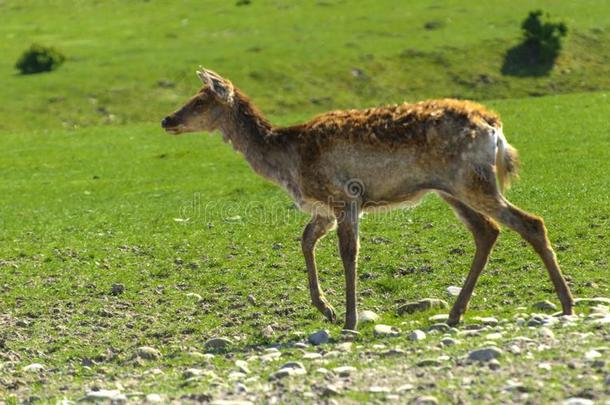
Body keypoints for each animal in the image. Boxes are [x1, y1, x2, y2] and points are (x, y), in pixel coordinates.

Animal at [159, 68, 572, 330]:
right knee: (488, 231)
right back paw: (456, 313)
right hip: (451, 188)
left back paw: (567, 302)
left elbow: (348, 253)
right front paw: (325, 309)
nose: (167, 120)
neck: (287, 161)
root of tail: (494, 126)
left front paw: (349, 318)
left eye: (200, 101)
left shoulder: (345, 195)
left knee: (530, 222)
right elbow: (305, 240)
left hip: (472, 181)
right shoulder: (323, 207)